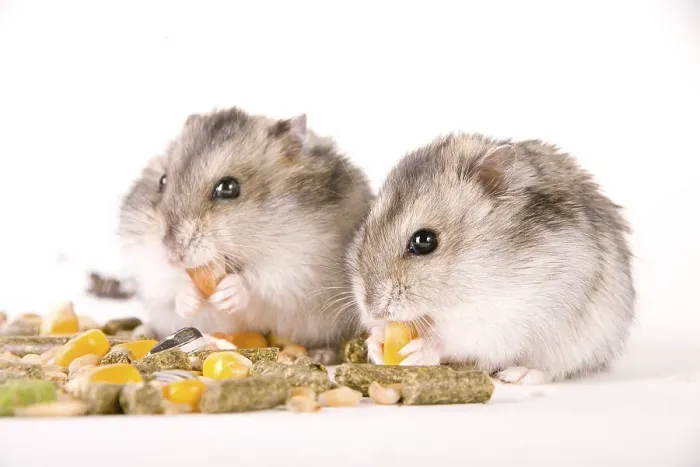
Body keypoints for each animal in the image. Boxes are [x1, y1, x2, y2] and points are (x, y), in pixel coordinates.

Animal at [118, 107, 373, 352]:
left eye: (228, 188)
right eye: (162, 181)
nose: (173, 255)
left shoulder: (301, 264)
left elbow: (261, 280)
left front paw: (228, 293)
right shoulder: (147, 263)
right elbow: (168, 284)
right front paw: (189, 297)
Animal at [347, 133, 635, 384]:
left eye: (424, 241)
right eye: (365, 228)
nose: (373, 310)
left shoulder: (511, 311)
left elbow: (459, 336)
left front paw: (419, 349)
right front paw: (376, 341)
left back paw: (517, 375)